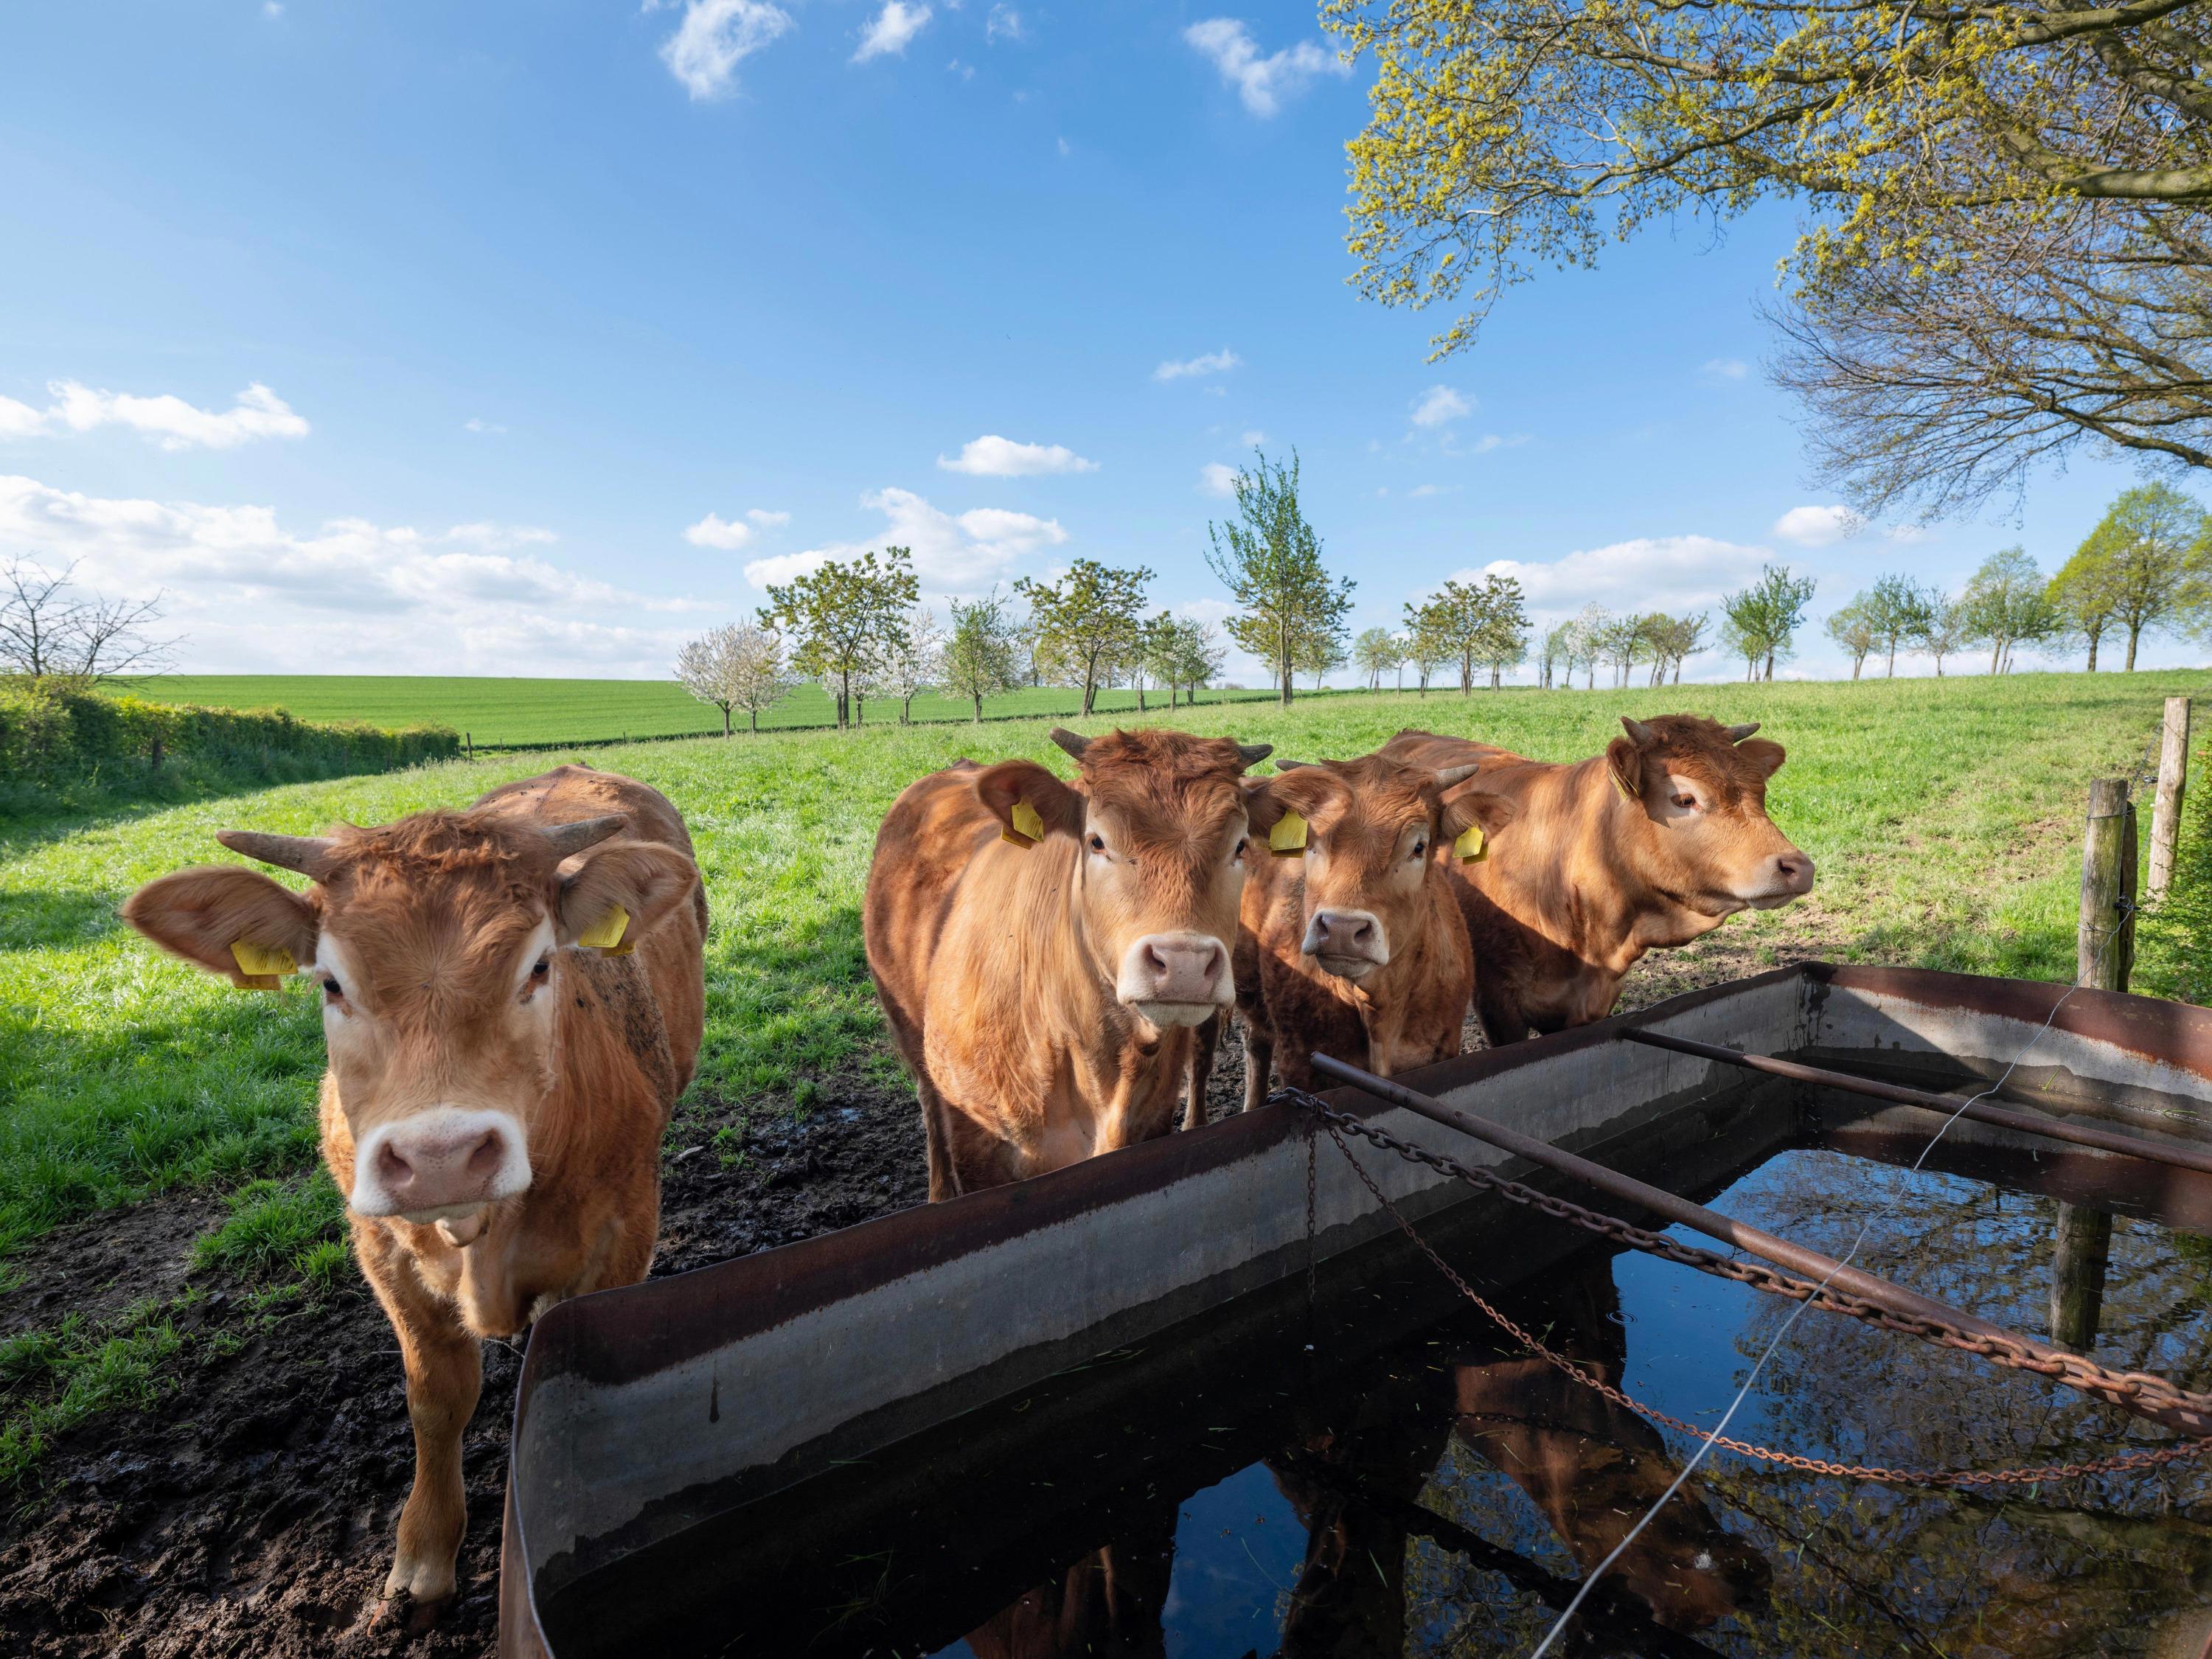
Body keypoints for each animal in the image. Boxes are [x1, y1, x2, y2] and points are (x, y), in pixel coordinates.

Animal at [119, 764, 705, 1610]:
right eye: (330, 982)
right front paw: (423, 1557)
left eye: (540, 966)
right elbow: (436, 1397)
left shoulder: (624, 1230)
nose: (441, 1157)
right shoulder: (382, 1250)